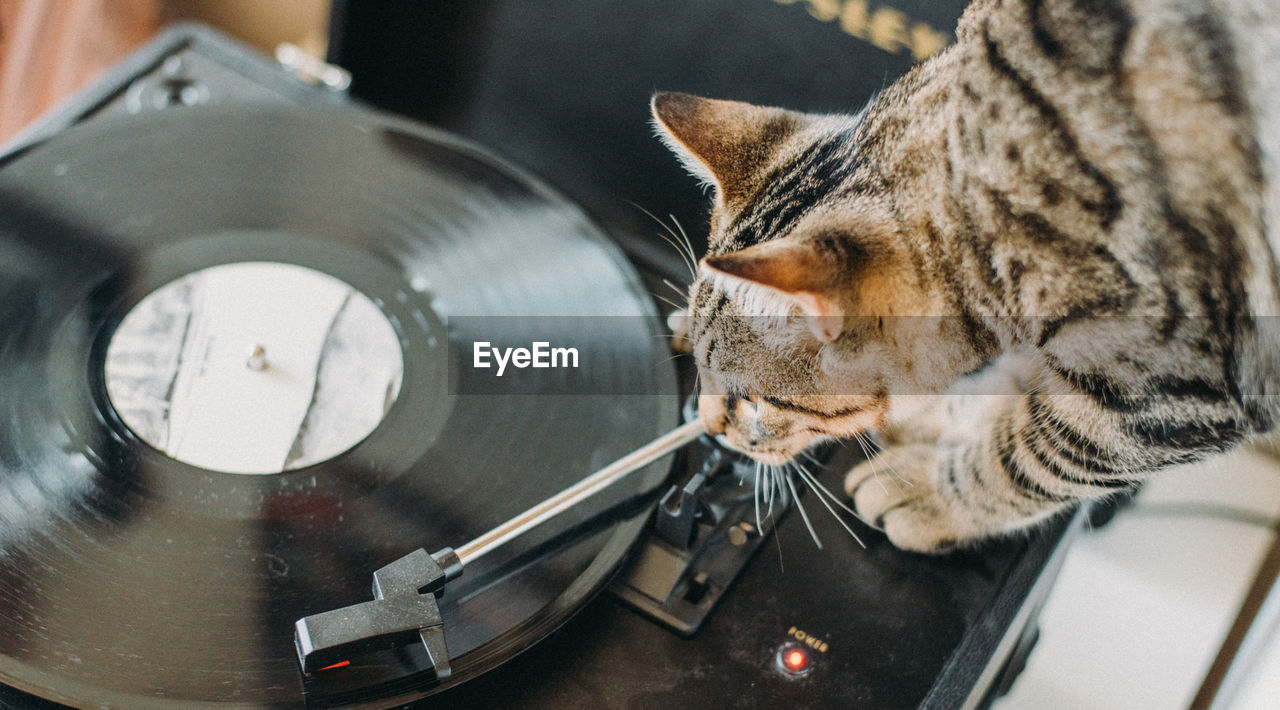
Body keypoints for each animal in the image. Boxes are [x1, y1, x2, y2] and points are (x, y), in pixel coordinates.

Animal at [650, 0, 1280, 552]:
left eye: (759, 401)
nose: (708, 426)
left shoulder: (1180, 395)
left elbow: (1043, 458)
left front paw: (932, 492)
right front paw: (937, 418)